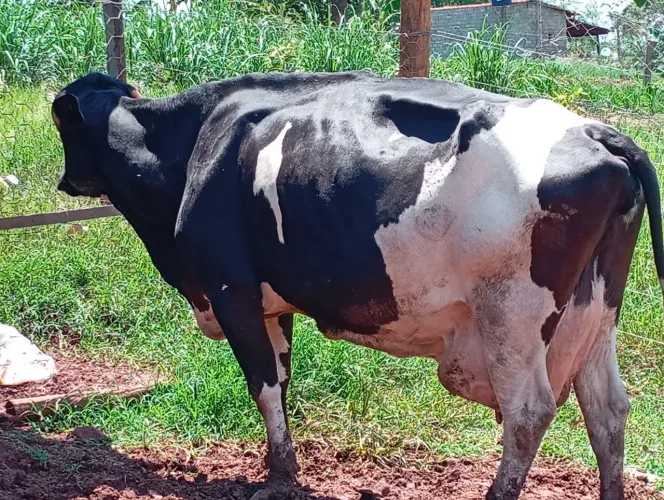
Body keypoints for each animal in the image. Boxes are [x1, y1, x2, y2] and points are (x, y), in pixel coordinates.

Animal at [51, 70, 664, 500]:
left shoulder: (231, 289)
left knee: (529, 411)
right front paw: (284, 469)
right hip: (595, 312)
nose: (64, 180)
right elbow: (281, 379)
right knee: (608, 409)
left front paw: (277, 478)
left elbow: (263, 384)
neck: (194, 145)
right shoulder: (274, 301)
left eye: (62, 126)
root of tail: (597, 129)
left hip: (511, 314)